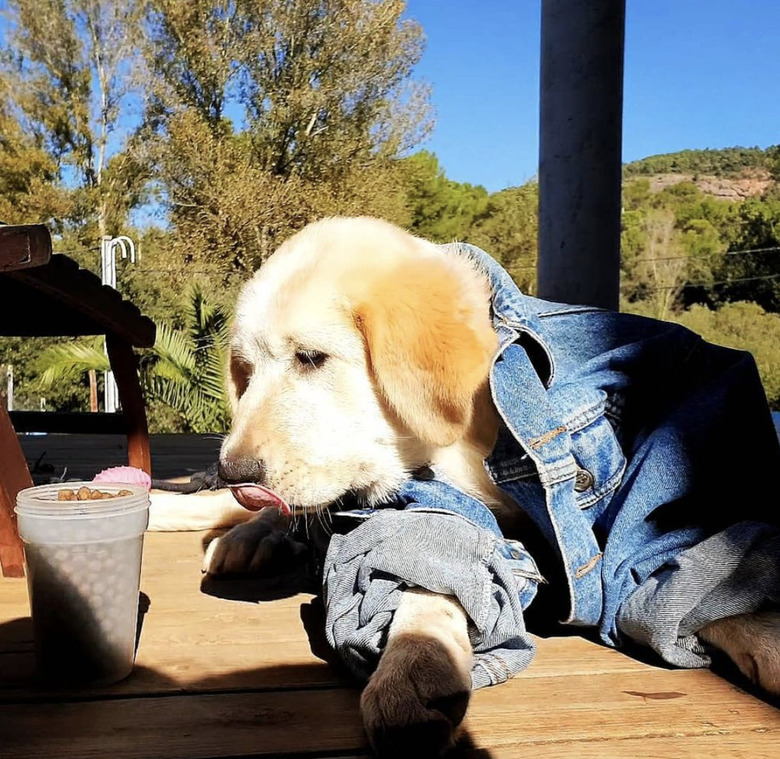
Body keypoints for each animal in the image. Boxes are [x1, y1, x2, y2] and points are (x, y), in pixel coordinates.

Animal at [151, 217, 780, 756]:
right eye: (245, 370)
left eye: (311, 357)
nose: (235, 473)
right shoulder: (427, 507)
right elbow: (430, 580)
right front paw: (416, 670)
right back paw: (224, 527)